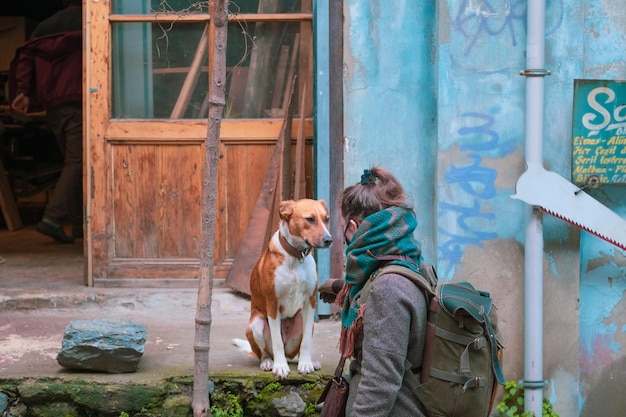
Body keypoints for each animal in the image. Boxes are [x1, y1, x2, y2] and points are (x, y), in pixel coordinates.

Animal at [234, 198, 332, 376]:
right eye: (310, 219)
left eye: (326, 219)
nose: (329, 240)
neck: (296, 256)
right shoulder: (273, 303)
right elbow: (277, 341)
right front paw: (280, 367)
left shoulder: (310, 301)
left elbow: (306, 341)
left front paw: (305, 364)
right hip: (257, 322)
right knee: (266, 352)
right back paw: (268, 362)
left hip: (301, 319)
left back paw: (308, 360)